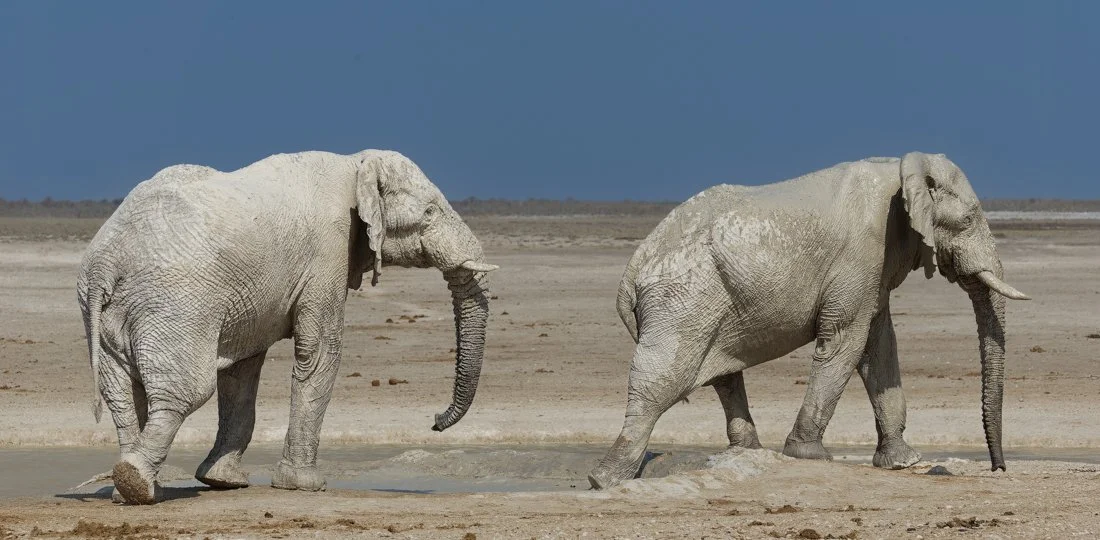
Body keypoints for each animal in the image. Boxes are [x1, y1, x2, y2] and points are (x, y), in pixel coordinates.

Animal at [77, 149, 497, 504]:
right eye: (429, 212)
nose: (435, 422)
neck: (355, 163)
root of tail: (104, 264)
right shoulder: (328, 252)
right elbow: (321, 352)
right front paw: (305, 485)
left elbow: (241, 371)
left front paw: (223, 481)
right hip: (175, 303)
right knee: (184, 392)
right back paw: (137, 485)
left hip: (114, 312)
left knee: (123, 397)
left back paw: (132, 491)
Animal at [588, 152, 1030, 489]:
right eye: (968, 220)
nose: (999, 468)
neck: (903, 167)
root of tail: (633, 268)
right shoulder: (860, 254)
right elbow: (845, 341)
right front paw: (810, 455)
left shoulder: (875, 269)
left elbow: (879, 346)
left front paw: (904, 461)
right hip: (683, 299)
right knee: (659, 383)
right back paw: (605, 480)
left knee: (724, 376)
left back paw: (748, 452)